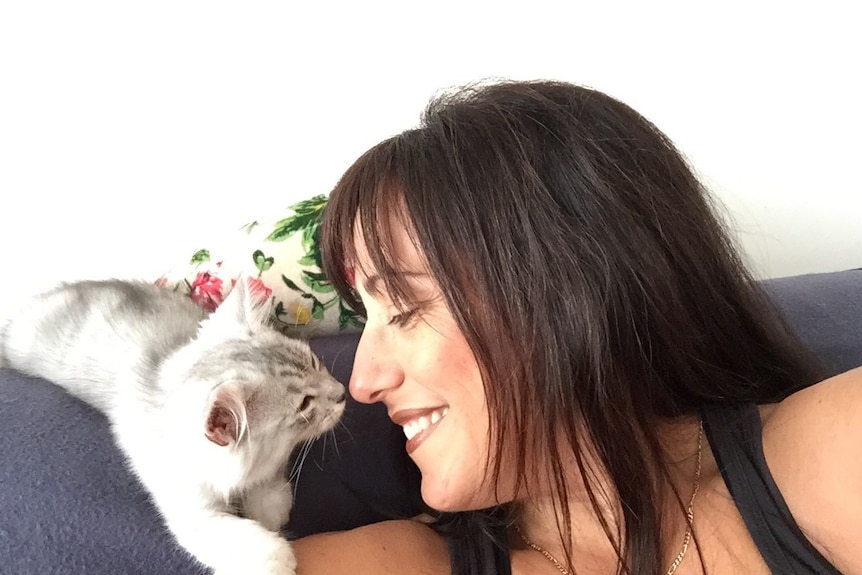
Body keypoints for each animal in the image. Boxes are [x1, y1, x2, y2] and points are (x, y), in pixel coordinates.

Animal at [4, 276, 348, 572]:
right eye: (305, 403)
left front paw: (267, 508)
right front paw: (275, 556)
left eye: (314, 363)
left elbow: (269, 484)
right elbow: (237, 536)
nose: (342, 393)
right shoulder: (189, 510)